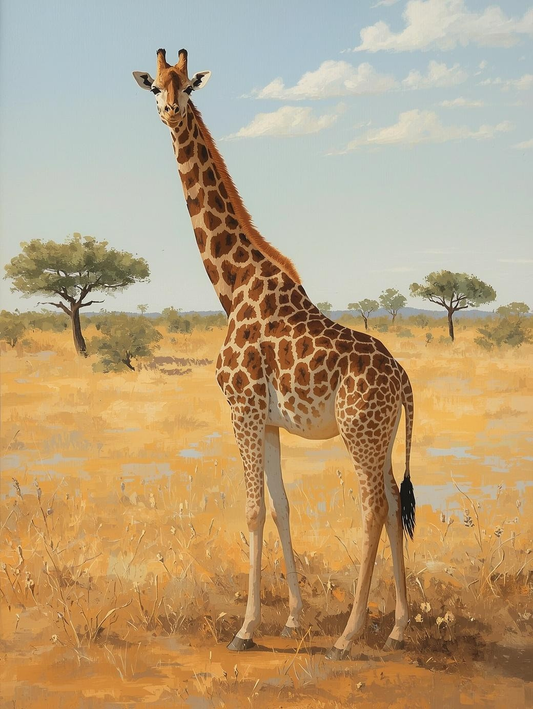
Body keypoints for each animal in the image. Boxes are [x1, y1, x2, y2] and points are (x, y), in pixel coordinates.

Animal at [133, 48, 415, 659]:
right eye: (155, 87)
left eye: (188, 85)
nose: (170, 111)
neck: (232, 285)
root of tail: (405, 380)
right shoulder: (267, 420)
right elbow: (282, 507)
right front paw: (291, 619)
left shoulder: (240, 409)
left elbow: (254, 509)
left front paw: (246, 628)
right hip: (381, 436)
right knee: (390, 501)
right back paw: (400, 627)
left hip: (359, 432)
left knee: (374, 509)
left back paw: (350, 636)